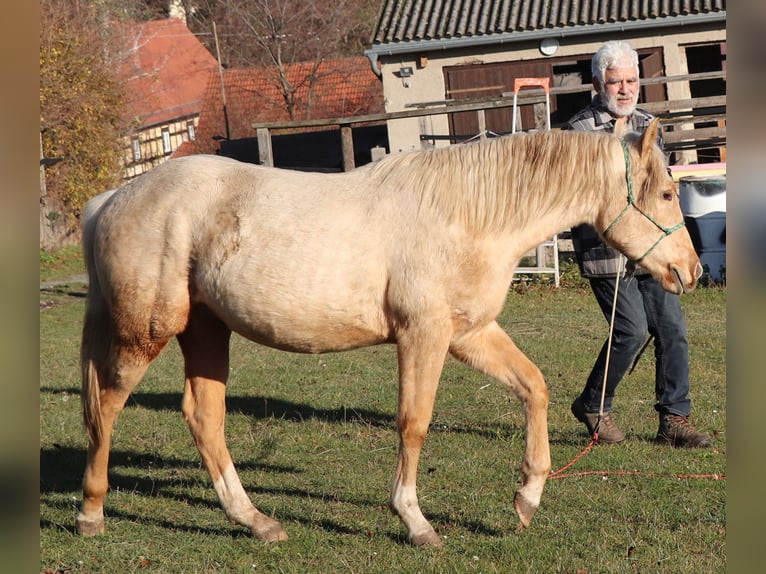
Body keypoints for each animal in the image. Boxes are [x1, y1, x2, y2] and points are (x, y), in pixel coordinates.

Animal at [75, 118, 701, 547]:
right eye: (667, 194)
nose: (691, 272)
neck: (466, 215)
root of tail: (110, 199)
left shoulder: (470, 334)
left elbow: (535, 387)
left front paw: (526, 498)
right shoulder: (422, 336)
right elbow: (414, 423)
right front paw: (415, 521)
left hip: (206, 332)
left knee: (203, 417)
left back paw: (255, 521)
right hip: (145, 332)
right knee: (106, 406)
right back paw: (91, 512)